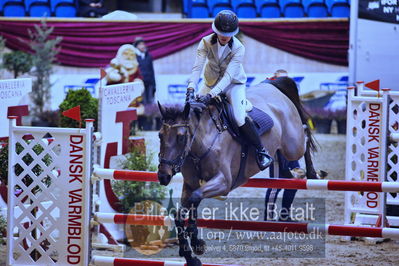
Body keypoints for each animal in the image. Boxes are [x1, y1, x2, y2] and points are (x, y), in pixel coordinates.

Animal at [158, 79, 318, 266]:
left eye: (181, 137)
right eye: (160, 135)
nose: (163, 176)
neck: (202, 143)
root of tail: (272, 85)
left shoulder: (223, 182)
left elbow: (195, 199)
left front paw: (196, 244)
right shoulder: (191, 184)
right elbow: (183, 211)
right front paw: (190, 254)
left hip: (293, 145)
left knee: (305, 133)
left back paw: (311, 173)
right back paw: (292, 173)